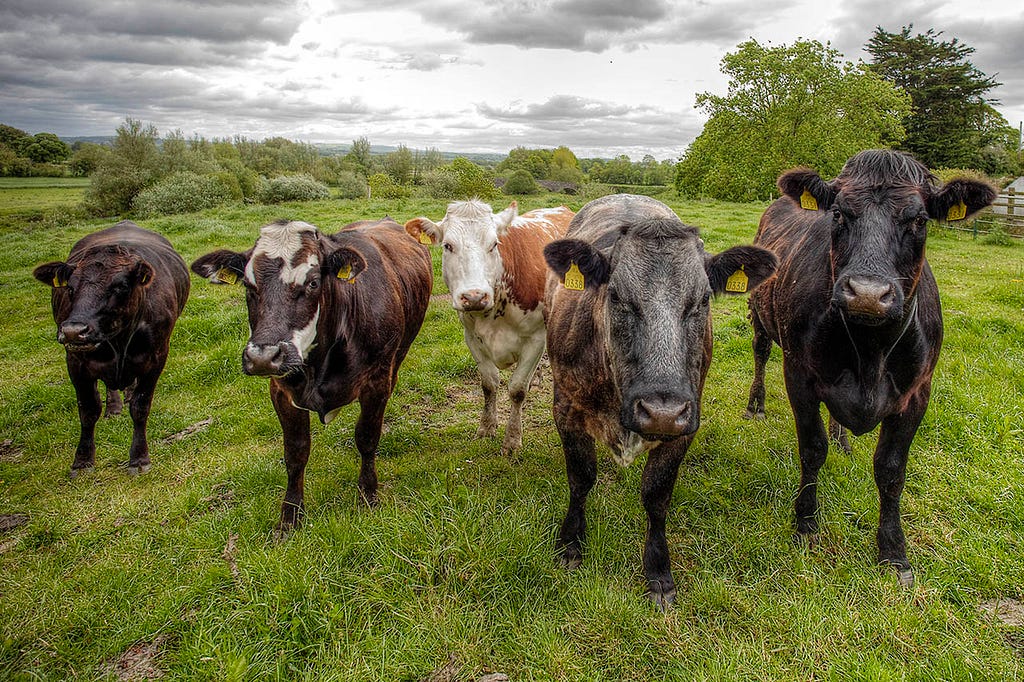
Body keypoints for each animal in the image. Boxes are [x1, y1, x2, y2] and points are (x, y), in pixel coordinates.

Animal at [192, 218, 432, 532]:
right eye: (248, 285)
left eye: (313, 282)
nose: (263, 357)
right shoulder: (281, 390)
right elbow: (295, 453)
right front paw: (290, 516)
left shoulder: (376, 381)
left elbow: (367, 437)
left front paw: (368, 496)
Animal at [403, 199, 573, 450]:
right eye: (447, 246)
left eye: (493, 245)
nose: (474, 296)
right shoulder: (472, 338)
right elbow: (489, 384)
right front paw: (486, 428)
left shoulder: (535, 339)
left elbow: (517, 389)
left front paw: (512, 439)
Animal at [544, 192, 774, 606]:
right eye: (616, 296)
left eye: (702, 300)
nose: (661, 412)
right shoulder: (566, 409)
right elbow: (581, 478)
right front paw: (571, 543)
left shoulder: (687, 421)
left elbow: (656, 495)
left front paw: (658, 570)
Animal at [749, 150, 995, 585]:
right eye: (839, 214)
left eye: (920, 220)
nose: (866, 294)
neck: (870, 351)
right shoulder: (799, 376)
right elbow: (812, 449)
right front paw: (806, 524)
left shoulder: (918, 392)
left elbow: (891, 469)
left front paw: (894, 552)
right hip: (762, 320)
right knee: (761, 354)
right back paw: (757, 404)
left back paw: (844, 439)